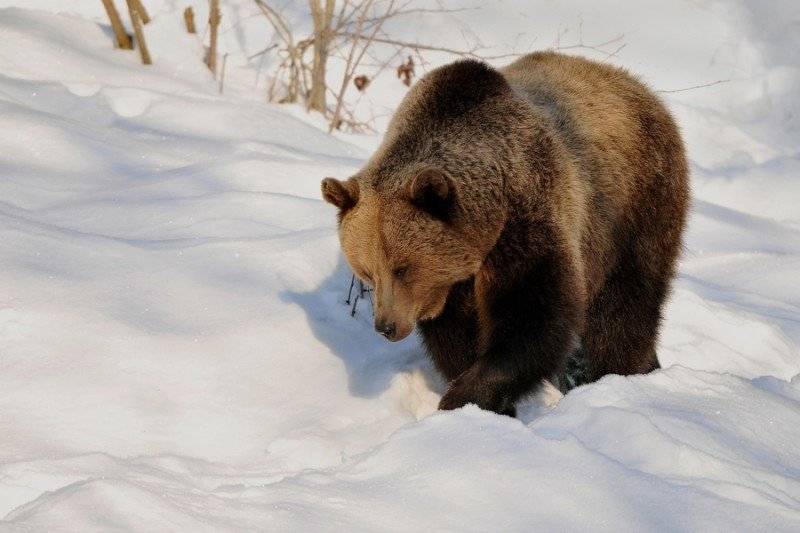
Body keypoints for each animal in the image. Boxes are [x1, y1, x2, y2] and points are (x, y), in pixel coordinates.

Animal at [322, 51, 692, 416]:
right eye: (367, 273)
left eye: (403, 268)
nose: (386, 326)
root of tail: (636, 84)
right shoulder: (453, 283)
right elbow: (457, 337)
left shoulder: (528, 222)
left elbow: (534, 316)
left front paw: (466, 396)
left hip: (633, 205)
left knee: (625, 303)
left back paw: (620, 373)